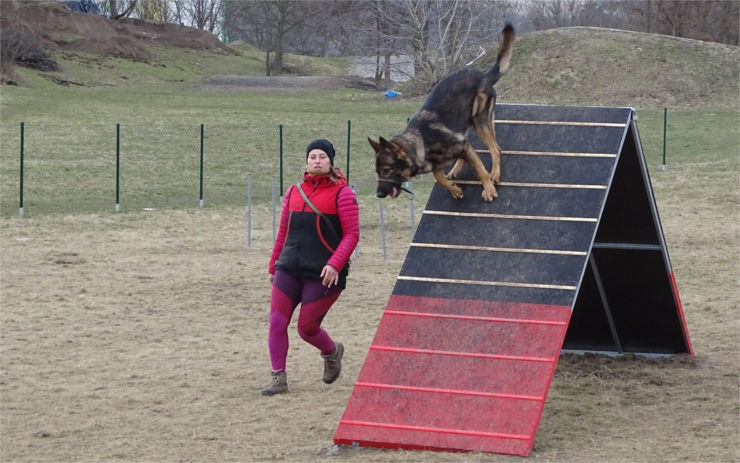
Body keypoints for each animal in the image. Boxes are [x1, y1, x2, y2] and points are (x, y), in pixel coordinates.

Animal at [370, 23, 516, 201]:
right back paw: (455, 170)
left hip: (479, 121)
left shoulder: (462, 148)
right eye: (377, 172)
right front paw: (454, 189)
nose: (378, 194)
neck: (422, 143)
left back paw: (494, 174)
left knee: (495, 149)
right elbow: (439, 178)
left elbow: (480, 171)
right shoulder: (439, 164)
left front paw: (488, 188)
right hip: (466, 124)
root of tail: (485, 76)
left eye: (386, 170)